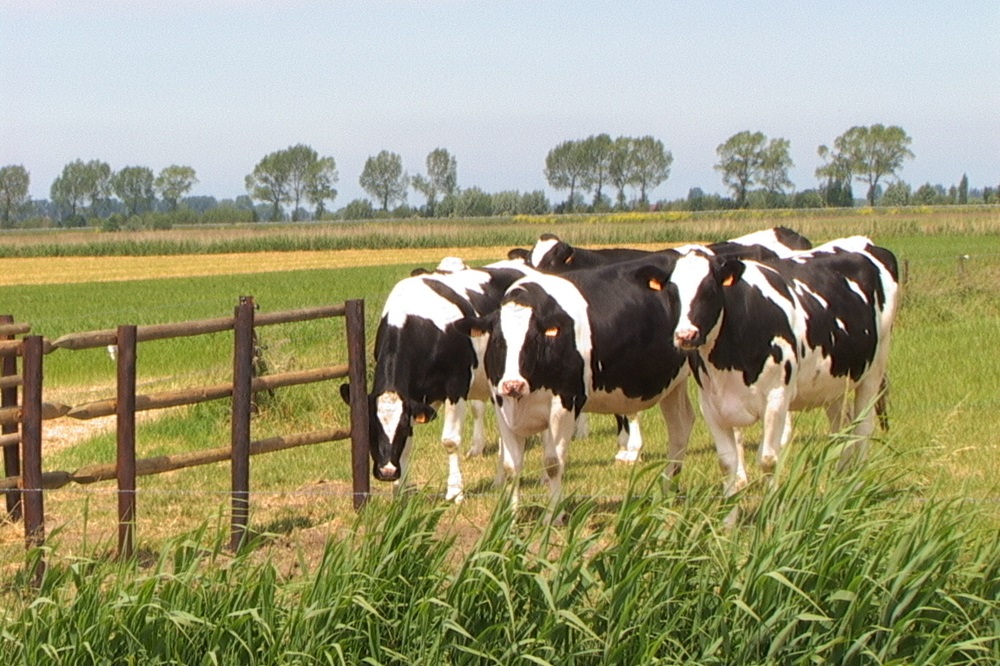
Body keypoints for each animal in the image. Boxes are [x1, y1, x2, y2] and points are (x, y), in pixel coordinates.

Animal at [340, 256, 536, 500]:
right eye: (371, 429)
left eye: (399, 428)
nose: (387, 472)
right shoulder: (413, 397)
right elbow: (408, 445)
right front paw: (400, 492)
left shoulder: (456, 387)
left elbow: (450, 441)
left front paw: (455, 491)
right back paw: (499, 481)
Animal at [454, 252, 696, 516]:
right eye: (498, 341)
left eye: (534, 340)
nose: (513, 385)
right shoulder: (503, 406)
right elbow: (511, 466)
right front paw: (509, 518)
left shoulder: (564, 405)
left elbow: (553, 464)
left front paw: (553, 516)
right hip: (674, 386)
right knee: (680, 427)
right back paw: (667, 491)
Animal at [636, 236, 904, 496]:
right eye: (672, 293)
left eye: (709, 289)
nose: (685, 336)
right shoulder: (711, 405)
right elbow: (727, 463)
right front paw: (729, 510)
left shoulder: (776, 397)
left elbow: (767, 459)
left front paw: (771, 507)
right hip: (834, 380)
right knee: (842, 424)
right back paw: (840, 478)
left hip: (874, 369)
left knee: (863, 427)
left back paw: (857, 485)